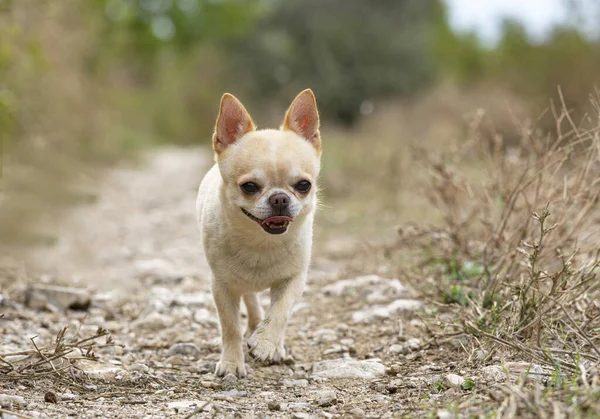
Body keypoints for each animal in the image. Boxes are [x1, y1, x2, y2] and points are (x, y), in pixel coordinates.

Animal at [197, 90, 322, 378]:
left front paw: (266, 344)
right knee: (251, 302)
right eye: (249, 187)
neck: (261, 241)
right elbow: (230, 327)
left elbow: (280, 312)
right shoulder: (222, 287)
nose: (279, 198)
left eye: (304, 185)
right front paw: (232, 362)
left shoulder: (294, 280)